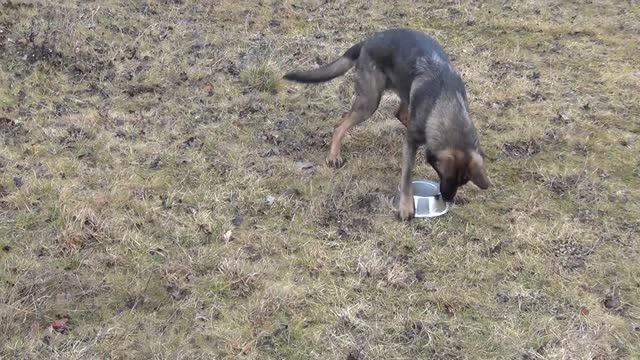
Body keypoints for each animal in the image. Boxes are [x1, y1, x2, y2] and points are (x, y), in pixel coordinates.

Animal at [282, 28, 488, 219]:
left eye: (463, 181)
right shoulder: (411, 143)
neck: (445, 101)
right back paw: (334, 156)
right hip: (369, 101)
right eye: (446, 175)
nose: (447, 198)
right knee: (340, 125)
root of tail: (368, 40)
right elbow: (406, 176)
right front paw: (406, 207)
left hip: (401, 91)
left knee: (399, 113)